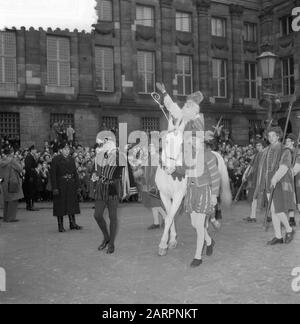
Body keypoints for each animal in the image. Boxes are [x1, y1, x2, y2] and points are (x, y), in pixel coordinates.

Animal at [155, 117, 232, 256]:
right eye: (166, 141)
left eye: (181, 144)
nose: (169, 167)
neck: (170, 176)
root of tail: (214, 153)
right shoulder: (164, 195)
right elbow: (170, 216)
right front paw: (172, 240)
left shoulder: (178, 196)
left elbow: (169, 218)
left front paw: (163, 244)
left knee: (213, 204)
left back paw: (214, 223)